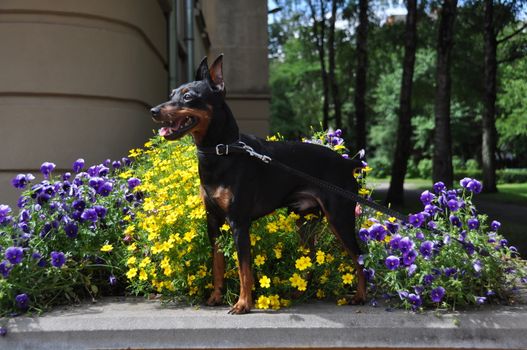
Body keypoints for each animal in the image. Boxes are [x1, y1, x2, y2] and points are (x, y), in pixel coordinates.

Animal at [151, 55, 366, 314]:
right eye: (171, 93)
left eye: (188, 97)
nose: (153, 111)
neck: (222, 151)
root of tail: (346, 163)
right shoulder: (213, 221)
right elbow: (217, 264)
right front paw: (215, 297)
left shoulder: (239, 223)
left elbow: (244, 269)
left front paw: (243, 304)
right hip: (304, 221)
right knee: (311, 258)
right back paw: (298, 292)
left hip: (339, 218)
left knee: (359, 257)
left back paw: (360, 296)